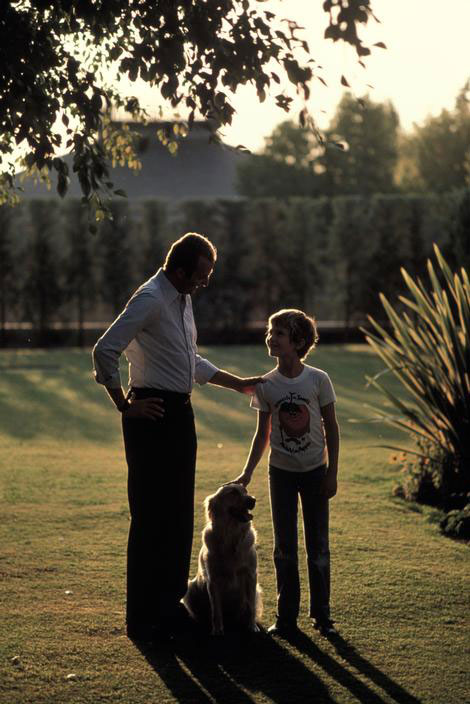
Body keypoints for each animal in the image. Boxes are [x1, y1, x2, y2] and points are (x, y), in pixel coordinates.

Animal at [183, 482, 262, 636]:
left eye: (245, 491)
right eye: (233, 492)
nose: (253, 500)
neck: (231, 536)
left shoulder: (251, 575)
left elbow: (251, 606)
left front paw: (252, 626)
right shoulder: (213, 579)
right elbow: (216, 610)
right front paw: (218, 630)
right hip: (190, 588)